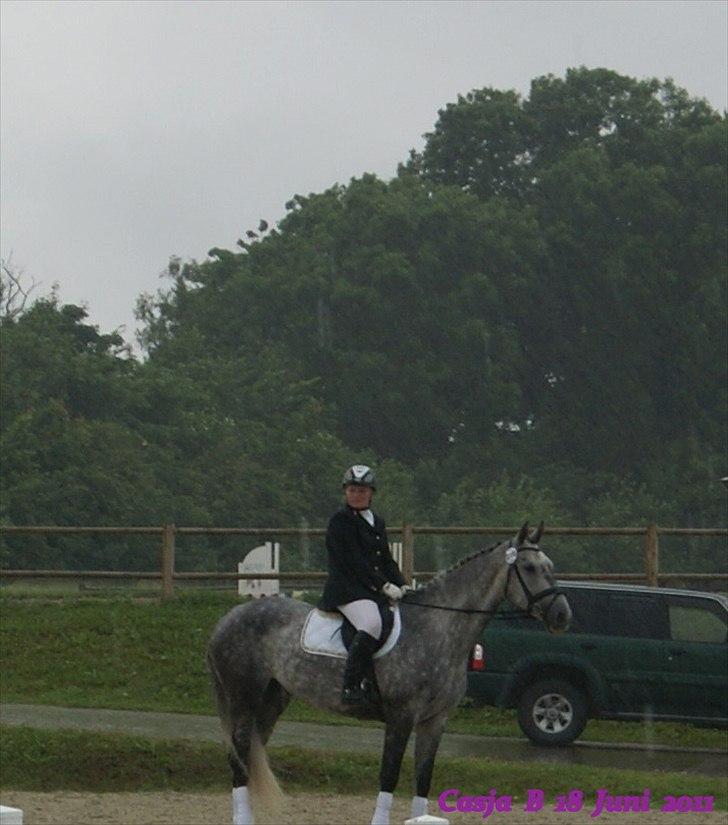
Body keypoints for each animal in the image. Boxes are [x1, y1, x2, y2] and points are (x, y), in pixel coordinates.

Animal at [208, 520, 572, 824]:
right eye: (529, 567)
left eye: (550, 568)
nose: (562, 616)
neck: (439, 628)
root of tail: (227, 619)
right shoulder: (401, 716)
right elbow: (389, 776)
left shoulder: (435, 721)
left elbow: (423, 779)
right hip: (243, 698)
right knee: (239, 760)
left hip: (272, 698)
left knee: (249, 756)